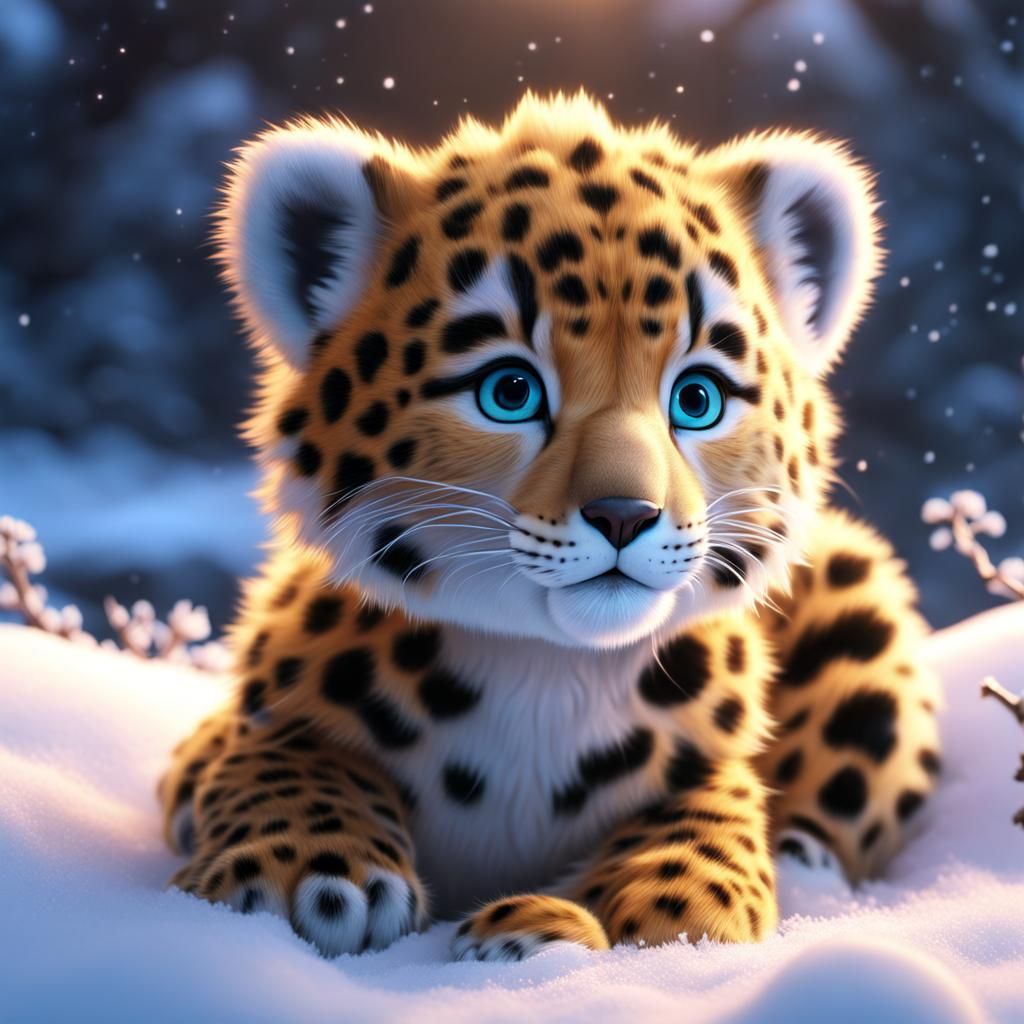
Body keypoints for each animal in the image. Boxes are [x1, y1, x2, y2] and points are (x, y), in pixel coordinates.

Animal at [159, 92, 942, 961]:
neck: (545, 676)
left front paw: (662, 909)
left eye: (697, 398)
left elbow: (708, 818)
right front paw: (314, 872)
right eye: (509, 391)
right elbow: (283, 751)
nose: (625, 515)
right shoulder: (263, 709)